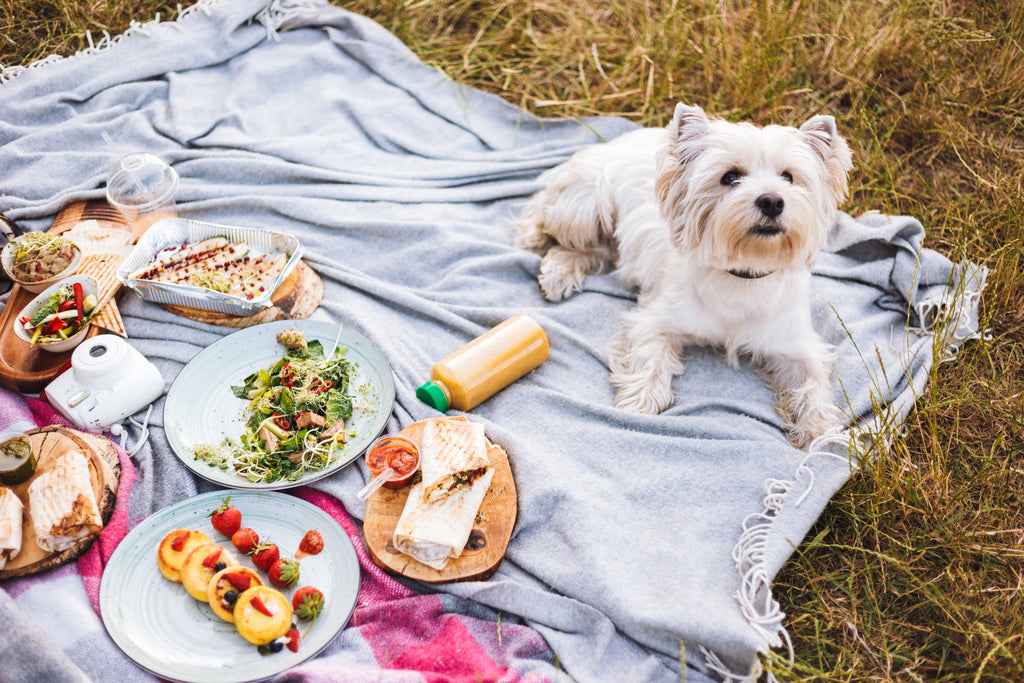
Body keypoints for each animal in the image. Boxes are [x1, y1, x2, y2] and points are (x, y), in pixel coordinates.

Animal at [516, 102, 851, 448]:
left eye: (789, 177)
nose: (772, 200)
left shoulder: (798, 346)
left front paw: (822, 434)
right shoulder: (655, 319)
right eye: (730, 177)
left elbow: (813, 386)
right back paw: (535, 241)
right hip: (585, 206)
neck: (743, 272)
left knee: (592, 250)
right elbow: (649, 359)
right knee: (548, 214)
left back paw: (558, 272)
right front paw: (639, 404)